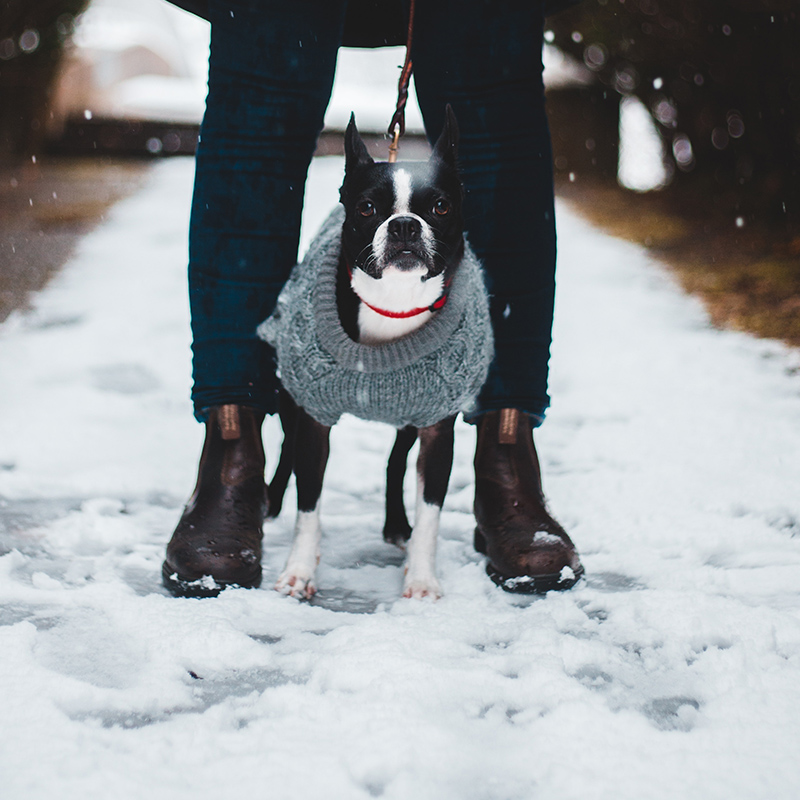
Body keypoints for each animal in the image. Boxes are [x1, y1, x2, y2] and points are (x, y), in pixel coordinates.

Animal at [258, 109, 494, 604]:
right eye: (367, 208)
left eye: (441, 206)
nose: (404, 224)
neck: (394, 304)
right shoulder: (314, 417)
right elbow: (309, 506)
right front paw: (298, 572)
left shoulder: (437, 428)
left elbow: (430, 514)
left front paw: (421, 578)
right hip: (290, 394)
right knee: (287, 447)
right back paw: (270, 500)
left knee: (395, 460)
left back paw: (396, 525)